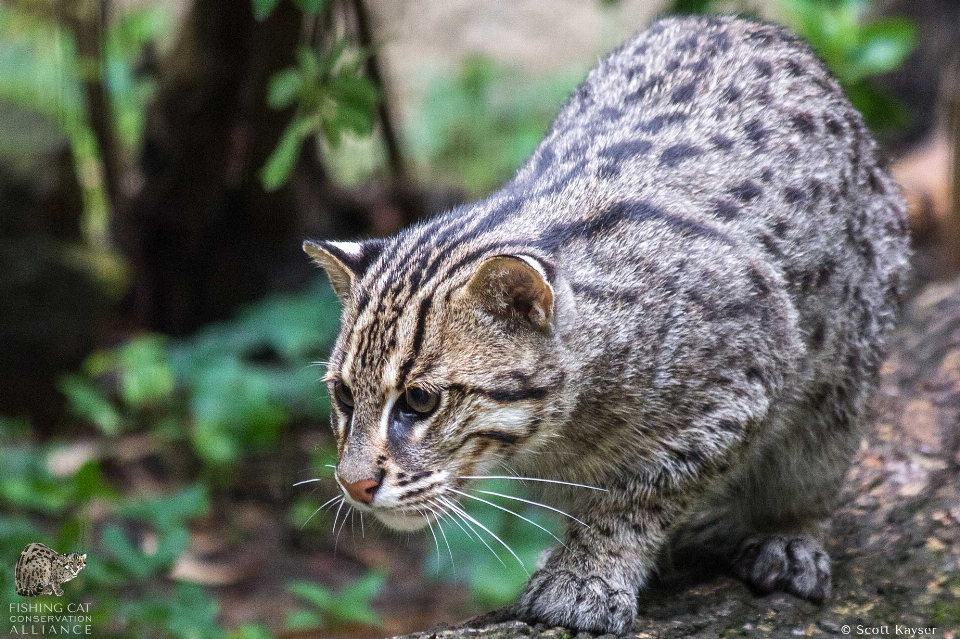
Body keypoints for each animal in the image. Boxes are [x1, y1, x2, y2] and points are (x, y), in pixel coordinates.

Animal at [306, 13, 908, 636]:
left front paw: (587, 574)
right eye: (344, 396)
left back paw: (788, 534)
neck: (563, 430)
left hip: (841, 377)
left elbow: (639, 497)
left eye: (421, 401)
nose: (353, 485)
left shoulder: (741, 387)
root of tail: (735, 20)